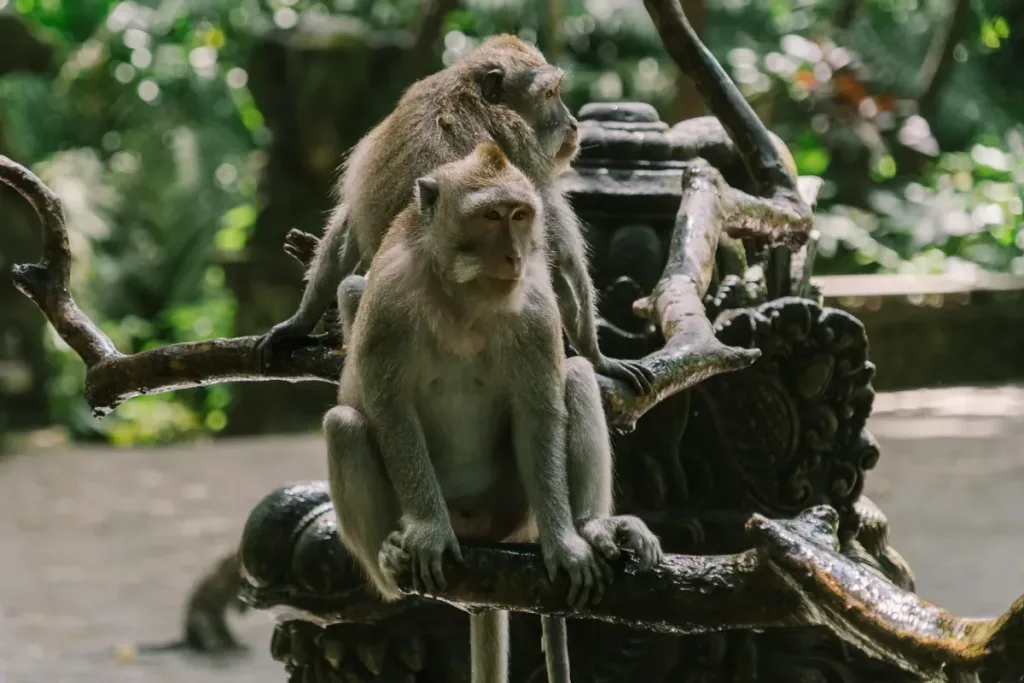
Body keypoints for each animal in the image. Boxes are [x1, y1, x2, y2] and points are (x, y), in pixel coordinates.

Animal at [254, 34, 654, 396]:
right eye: (550, 94)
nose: (572, 123)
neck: (464, 94)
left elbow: (348, 227)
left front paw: (298, 322)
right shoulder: (524, 157)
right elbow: (559, 257)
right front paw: (599, 358)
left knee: (350, 285)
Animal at [324, 143, 662, 683]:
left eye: (520, 215)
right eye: (489, 216)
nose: (514, 255)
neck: (464, 300)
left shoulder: (536, 309)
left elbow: (539, 413)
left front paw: (565, 543)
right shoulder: (388, 302)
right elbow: (390, 410)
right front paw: (428, 531)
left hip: (512, 507)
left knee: (575, 377)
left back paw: (593, 525)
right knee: (345, 427)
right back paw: (391, 557)